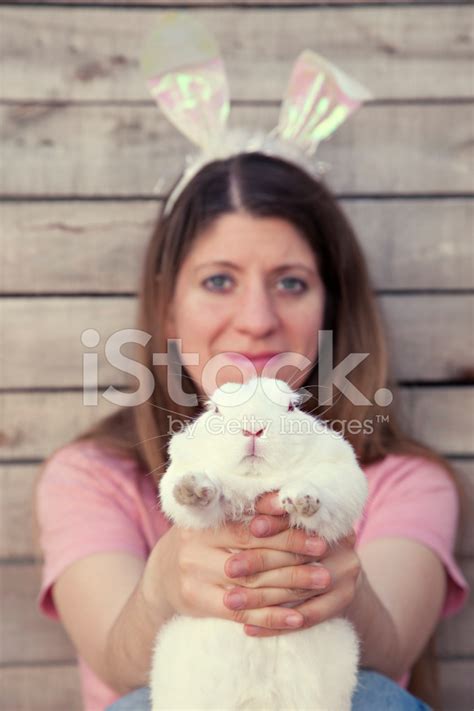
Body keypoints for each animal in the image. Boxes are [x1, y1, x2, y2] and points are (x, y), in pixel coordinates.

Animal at [150, 376, 368, 708]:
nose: (253, 429)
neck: (256, 482)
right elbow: (200, 501)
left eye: (290, 407)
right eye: (216, 410)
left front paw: (302, 499)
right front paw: (192, 489)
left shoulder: (341, 479)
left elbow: (324, 496)